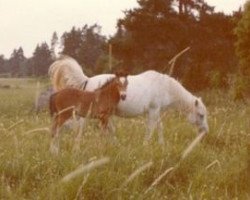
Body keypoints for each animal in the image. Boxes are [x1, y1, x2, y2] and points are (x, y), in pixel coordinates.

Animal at [47, 55, 208, 144]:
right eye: (201, 115)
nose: (205, 132)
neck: (164, 86)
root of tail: (87, 80)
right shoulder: (153, 111)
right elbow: (151, 128)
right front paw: (146, 145)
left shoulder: (156, 112)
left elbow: (159, 127)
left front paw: (162, 145)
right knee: (80, 130)